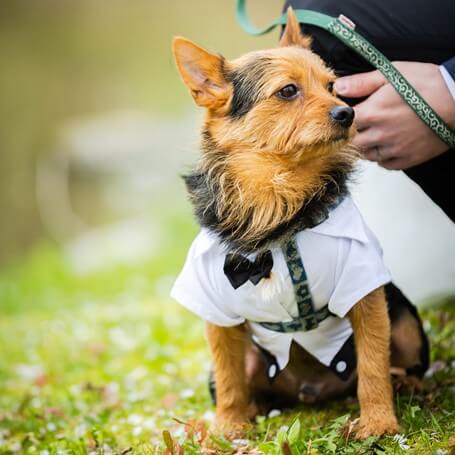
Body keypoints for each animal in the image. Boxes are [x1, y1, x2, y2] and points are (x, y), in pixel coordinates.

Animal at [170, 8, 428, 442]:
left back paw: (405, 383)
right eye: (288, 91)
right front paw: (227, 426)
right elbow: (229, 378)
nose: (348, 113)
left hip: (405, 321)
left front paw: (378, 422)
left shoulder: (364, 289)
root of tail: (311, 392)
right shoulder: (216, 312)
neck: (279, 201)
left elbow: (372, 364)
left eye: (333, 86)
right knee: (240, 383)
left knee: (396, 362)